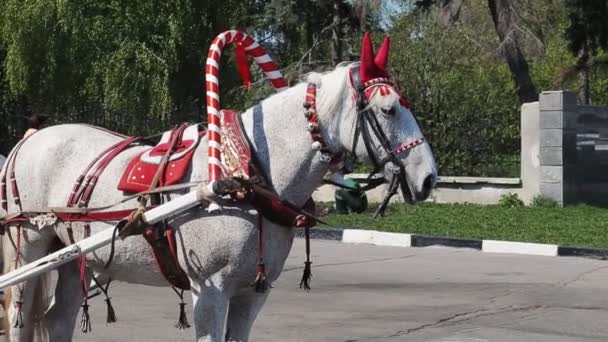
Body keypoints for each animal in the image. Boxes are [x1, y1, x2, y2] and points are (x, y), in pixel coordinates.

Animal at [0, 30, 436, 340]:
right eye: (388, 109)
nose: (429, 177)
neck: (245, 176)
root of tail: (29, 139)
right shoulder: (209, 290)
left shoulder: (253, 293)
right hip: (29, 246)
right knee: (20, 318)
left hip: (75, 257)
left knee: (58, 320)